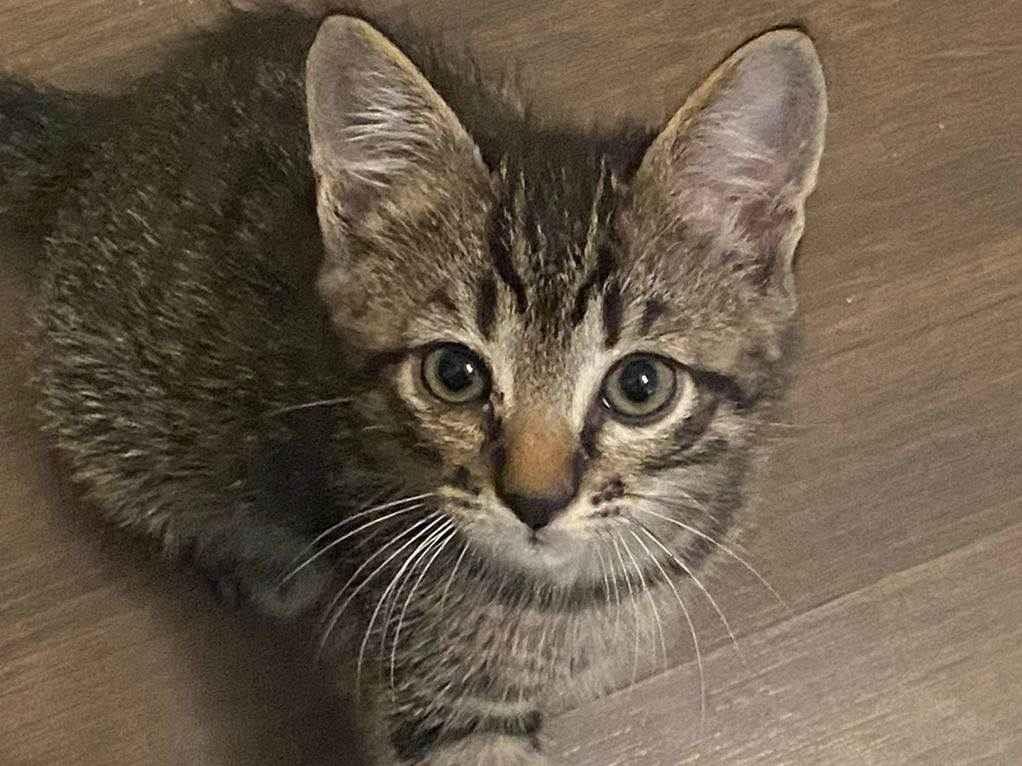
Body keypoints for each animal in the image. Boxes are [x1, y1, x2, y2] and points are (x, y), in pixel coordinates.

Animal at [0, 8, 826, 764]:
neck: (574, 592)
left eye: (641, 385)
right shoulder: (439, 688)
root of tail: (108, 127)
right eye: (453, 374)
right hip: (116, 401)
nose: (535, 501)